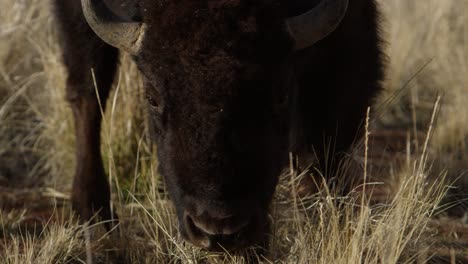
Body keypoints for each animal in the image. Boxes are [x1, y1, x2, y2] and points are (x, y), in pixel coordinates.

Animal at [54, 0, 384, 250]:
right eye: (152, 97)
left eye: (281, 93)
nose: (217, 228)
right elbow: (89, 87)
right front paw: (92, 212)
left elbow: (324, 142)